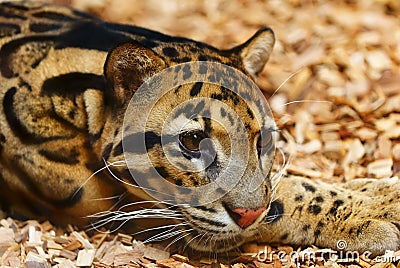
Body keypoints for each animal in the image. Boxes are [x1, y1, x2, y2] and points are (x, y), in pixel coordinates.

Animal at [0, 0, 400, 255]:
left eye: (264, 139)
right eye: (193, 141)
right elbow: (280, 198)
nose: (248, 214)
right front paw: (371, 209)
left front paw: (378, 191)